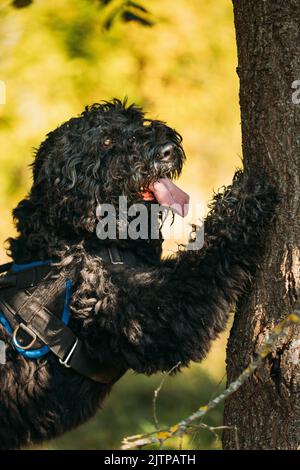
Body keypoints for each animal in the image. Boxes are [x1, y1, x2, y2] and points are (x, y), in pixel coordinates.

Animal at [0, 98, 276, 448]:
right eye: (105, 141)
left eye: (135, 119)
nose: (166, 149)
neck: (77, 240)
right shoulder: (157, 315)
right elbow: (206, 261)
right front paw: (244, 198)